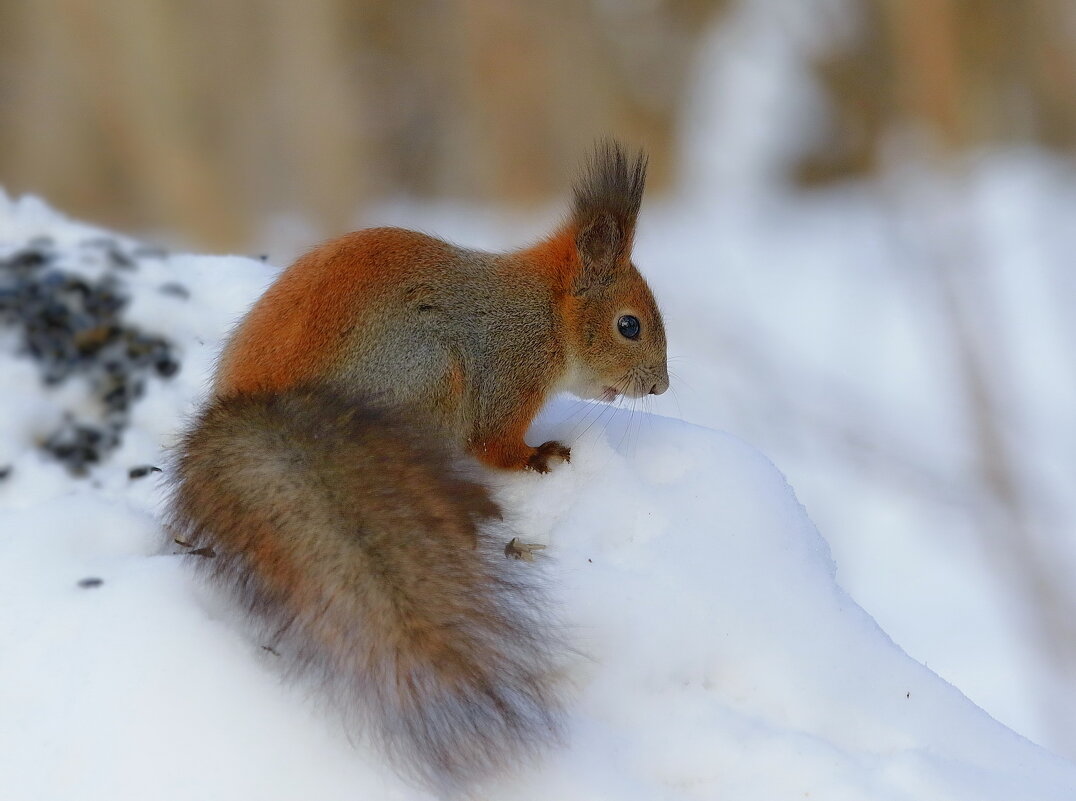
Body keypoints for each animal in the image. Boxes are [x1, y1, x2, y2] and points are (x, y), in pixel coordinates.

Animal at [164, 141, 667, 792]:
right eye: (628, 325)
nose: (659, 386)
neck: (544, 314)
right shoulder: (508, 377)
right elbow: (497, 445)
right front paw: (541, 457)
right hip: (431, 383)